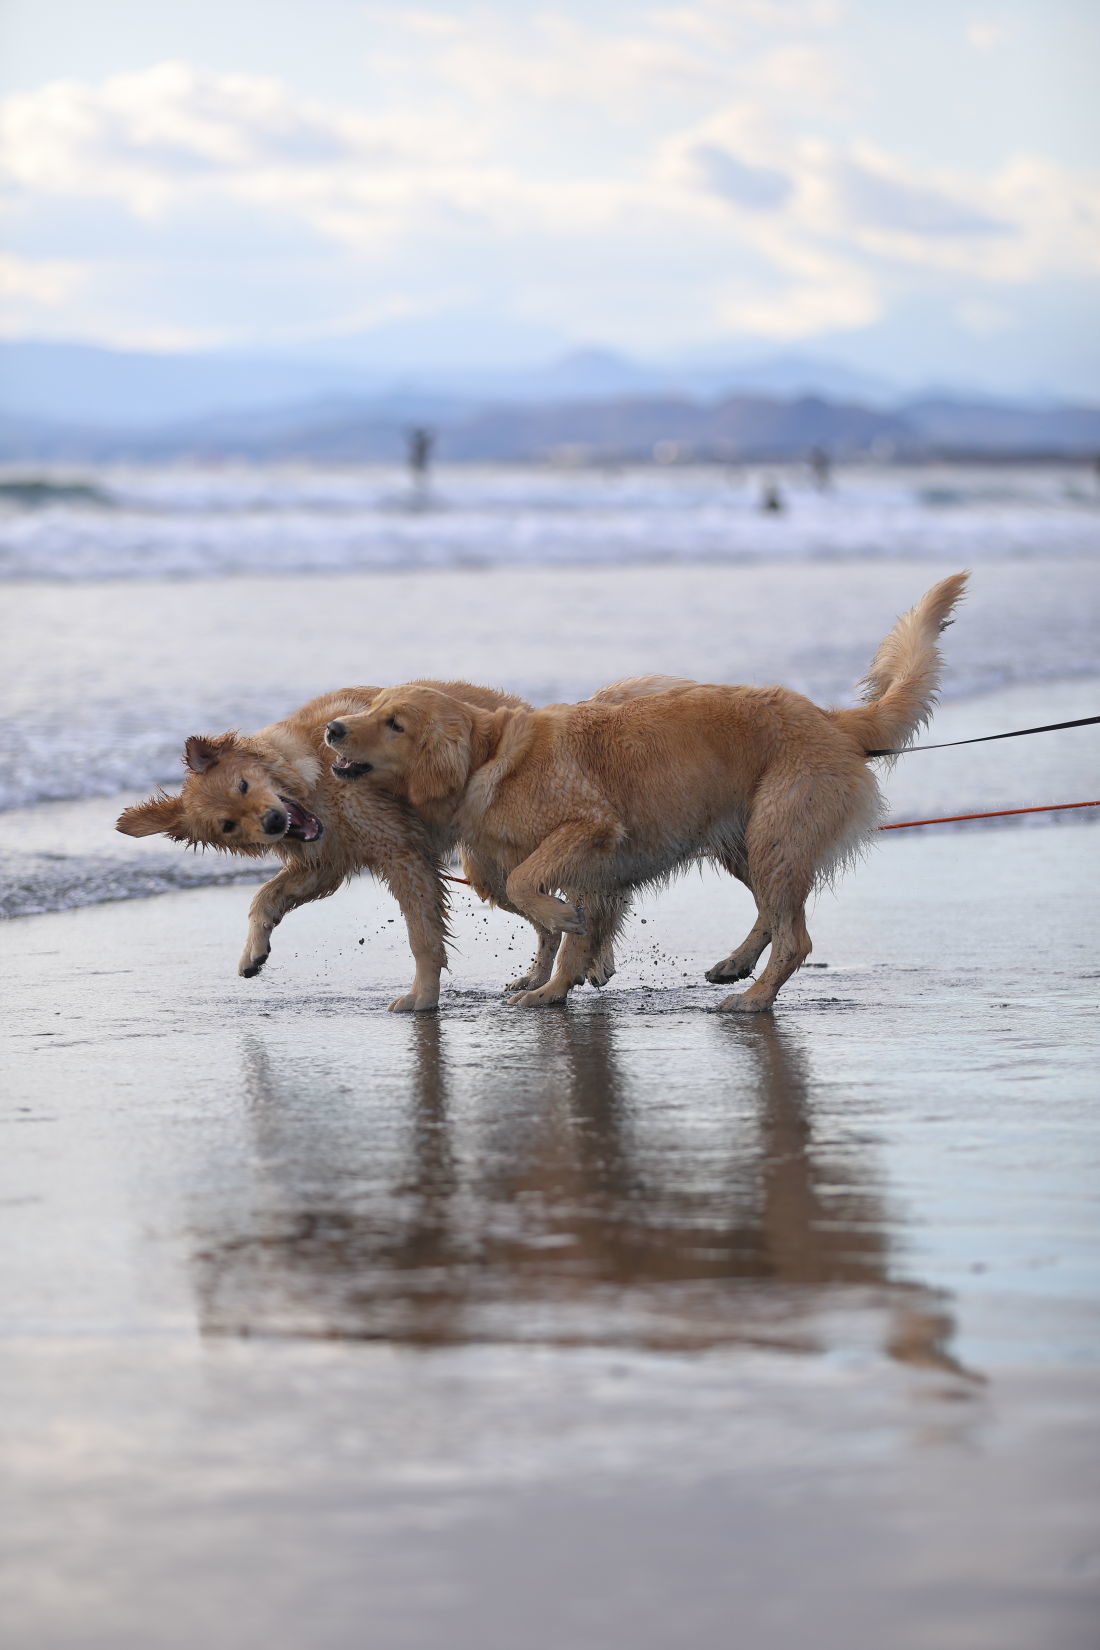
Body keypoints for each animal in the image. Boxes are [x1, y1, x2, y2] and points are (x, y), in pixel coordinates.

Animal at [118, 676, 689, 1009]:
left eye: (242, 785)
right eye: (227, 826)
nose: (275, 823)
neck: (313, 776)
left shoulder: (403, 855)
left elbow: (423, 938)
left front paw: (422, 997)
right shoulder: (321, 864)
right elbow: (265, 897)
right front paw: (253, 953)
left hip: (494, 862)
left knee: (588, 901)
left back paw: (593, 961)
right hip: (495, 872)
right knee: (555, 918)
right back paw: (540, 975)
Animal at [323, 580, 969, 1016]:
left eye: (394, 724)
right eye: (373, 709)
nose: (331, 728)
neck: (490, 755)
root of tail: (829, 719)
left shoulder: (588, 829)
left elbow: (534, 890)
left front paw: (558, 945)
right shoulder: (590, 869)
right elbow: (568, 940)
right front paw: (552, 987)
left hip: (777, 835)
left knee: (797, 938)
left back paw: (755, 997)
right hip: (746, 842)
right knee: (772, 915)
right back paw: (736, 965)